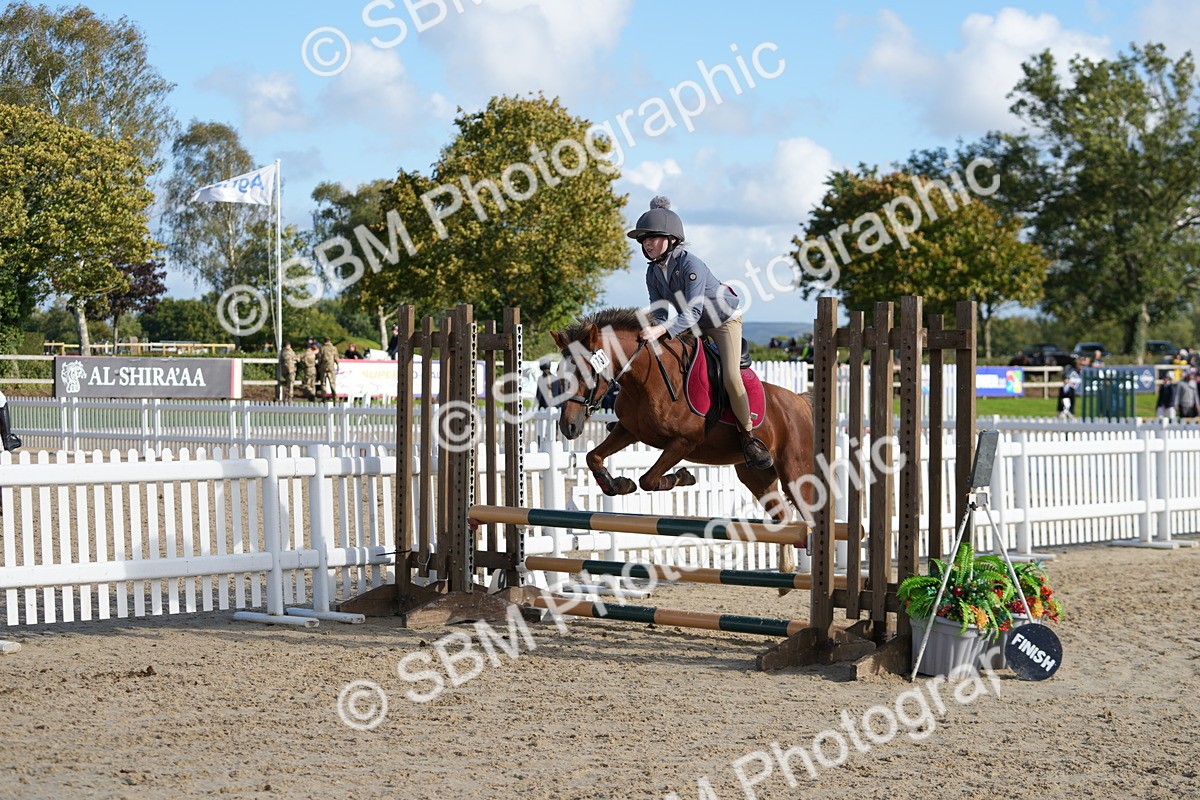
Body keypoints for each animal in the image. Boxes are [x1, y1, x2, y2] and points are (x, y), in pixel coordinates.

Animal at [550, 308, 817, 574]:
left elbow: (648, 480)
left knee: (809, 515)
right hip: (756, 477)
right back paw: (786, 572)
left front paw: (682, 476)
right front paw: (617, 484)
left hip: (795, 472)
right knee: (783, 516)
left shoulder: (684, 442)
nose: (568, 427)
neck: (645, 380)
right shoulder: (628, 431)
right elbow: (593, 457)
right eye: (559, 373)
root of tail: (801, 402)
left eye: (586, 372)